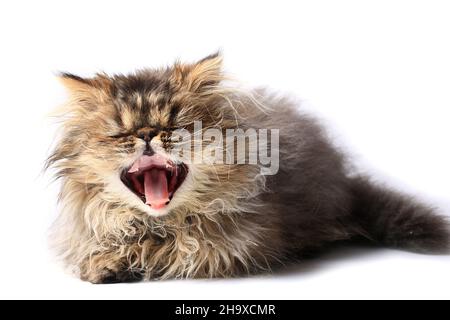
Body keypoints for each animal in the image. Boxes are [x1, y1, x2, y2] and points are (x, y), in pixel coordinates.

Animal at [47, 53, 448, 284]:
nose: (147, 134)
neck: (160, 223)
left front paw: (143, 258)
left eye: (175, 126)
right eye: (121, 133)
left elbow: (183, 248)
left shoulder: (234, 247)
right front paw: (108, 263)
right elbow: (99, 248)